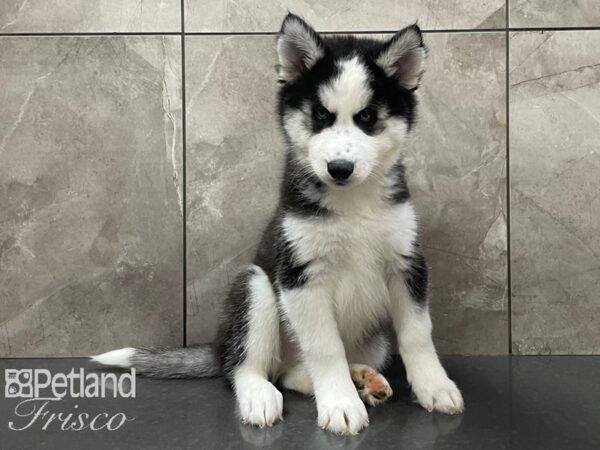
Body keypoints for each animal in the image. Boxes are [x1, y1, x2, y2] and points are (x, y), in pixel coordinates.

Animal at [94, 14, 466, 434]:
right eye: (320, 115)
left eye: (368, 117)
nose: (339, 168)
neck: (352, 203)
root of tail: (219, 347)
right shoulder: (300, 275)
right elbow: (325, 347)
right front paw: (341, 404)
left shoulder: (406, 263)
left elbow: (418, 334)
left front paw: (435, 387)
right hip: (255, 287)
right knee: (247, 367)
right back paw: (261, 396)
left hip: (375, 340)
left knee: (296, 374)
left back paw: (362, 379)